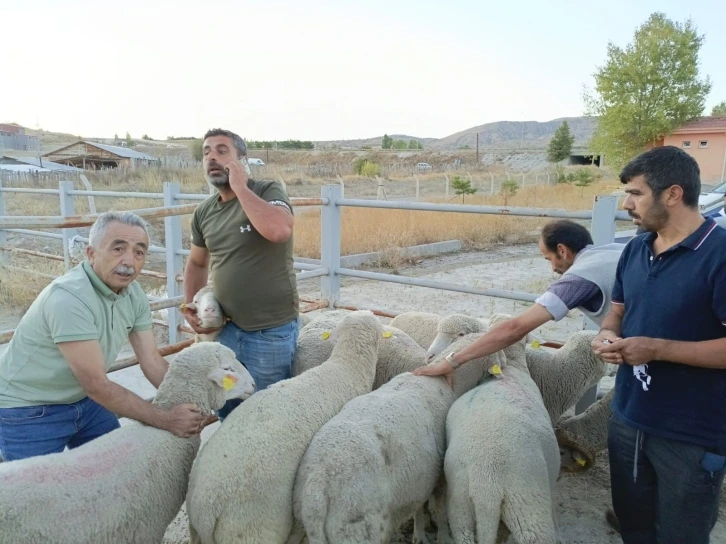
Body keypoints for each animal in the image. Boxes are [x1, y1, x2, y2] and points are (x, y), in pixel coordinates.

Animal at [288, 332, 506, 544]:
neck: (449, 382)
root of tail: (317, 490)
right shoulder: (439, 477)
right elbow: (440, 510)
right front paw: (442, 536)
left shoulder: (420, 478)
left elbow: (419, 507)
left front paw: (418, 535)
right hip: (357, 527)